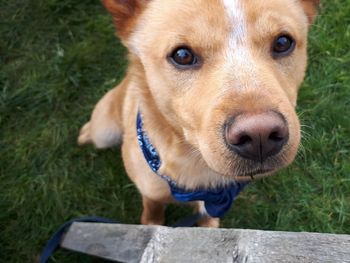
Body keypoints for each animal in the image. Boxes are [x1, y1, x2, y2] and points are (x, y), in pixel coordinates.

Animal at [78, 0, 320, 228]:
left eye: (282, 43)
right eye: (182, 55)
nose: (259, 135)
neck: (200, 172)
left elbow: (207, 216)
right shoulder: (151, 193)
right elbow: (152, 210)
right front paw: (151, 223)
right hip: (104, 132)